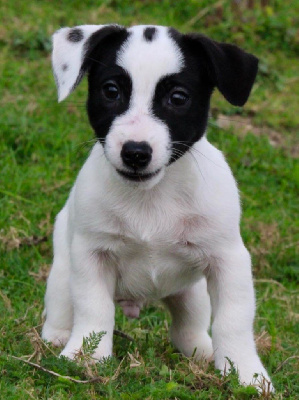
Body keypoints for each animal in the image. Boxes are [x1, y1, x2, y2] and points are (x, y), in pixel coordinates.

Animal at [42, 23, 274, 390]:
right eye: (111, 91)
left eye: (177, 98)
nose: (135, 152)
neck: (153, 195)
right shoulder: (92, 256)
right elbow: (94, 309)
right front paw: (86, 358)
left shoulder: (228, 260)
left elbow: (233, 319)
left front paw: (245, 372)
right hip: (64, 273)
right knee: (64, 306)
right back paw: (58, 337)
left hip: (192, 294)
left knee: (187, 327)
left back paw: (202, 350)